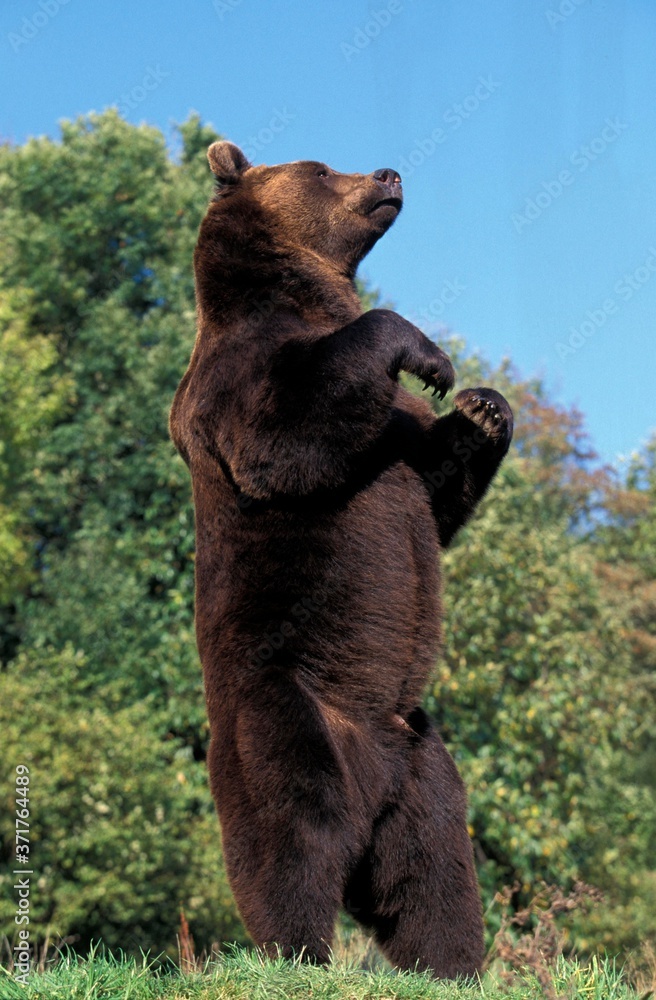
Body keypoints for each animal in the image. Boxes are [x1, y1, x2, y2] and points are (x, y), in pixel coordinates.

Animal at [169, 140, 513, 979]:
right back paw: (297, 950)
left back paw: (452, 964)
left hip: (421, 758)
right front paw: (430, 355)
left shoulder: (399, 438)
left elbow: (433, 486)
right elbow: (289, 431)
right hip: (283, 710)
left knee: (432, 867)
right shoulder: (240, 382)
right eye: (322, 168)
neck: (303, 298)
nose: (389, 174)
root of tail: (371, 784)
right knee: (293, 832)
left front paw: (483, 406)